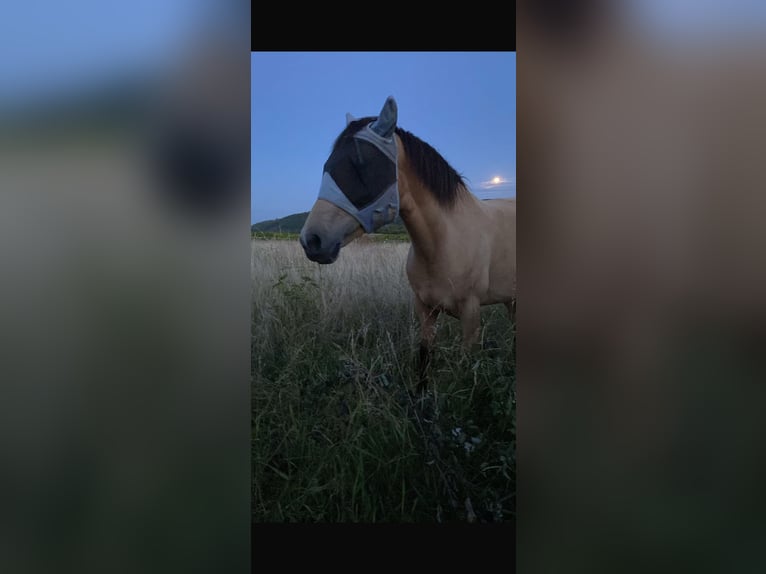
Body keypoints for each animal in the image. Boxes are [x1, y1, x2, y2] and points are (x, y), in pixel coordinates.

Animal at [299, 96, 516, 387]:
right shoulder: (424, 309)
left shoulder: (471, 315)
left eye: (361, 164)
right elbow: (424, 358)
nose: (311, 240)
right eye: (327, 166)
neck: (444, 242)